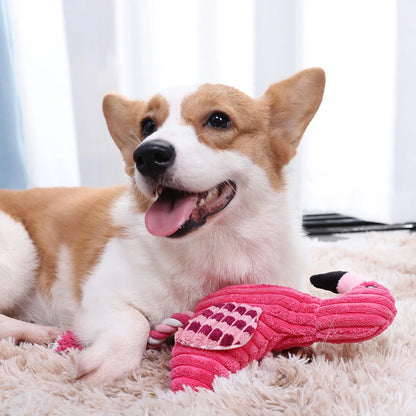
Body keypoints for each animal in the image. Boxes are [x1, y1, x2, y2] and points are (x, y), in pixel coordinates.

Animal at [0, 68, 324, 384]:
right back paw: (38, 332)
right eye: (147, 126)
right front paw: (109, 361)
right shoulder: (99, 294)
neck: (215, 246)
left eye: (219, 120)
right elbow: (136, 322)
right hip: (20, 249)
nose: (147, 155)